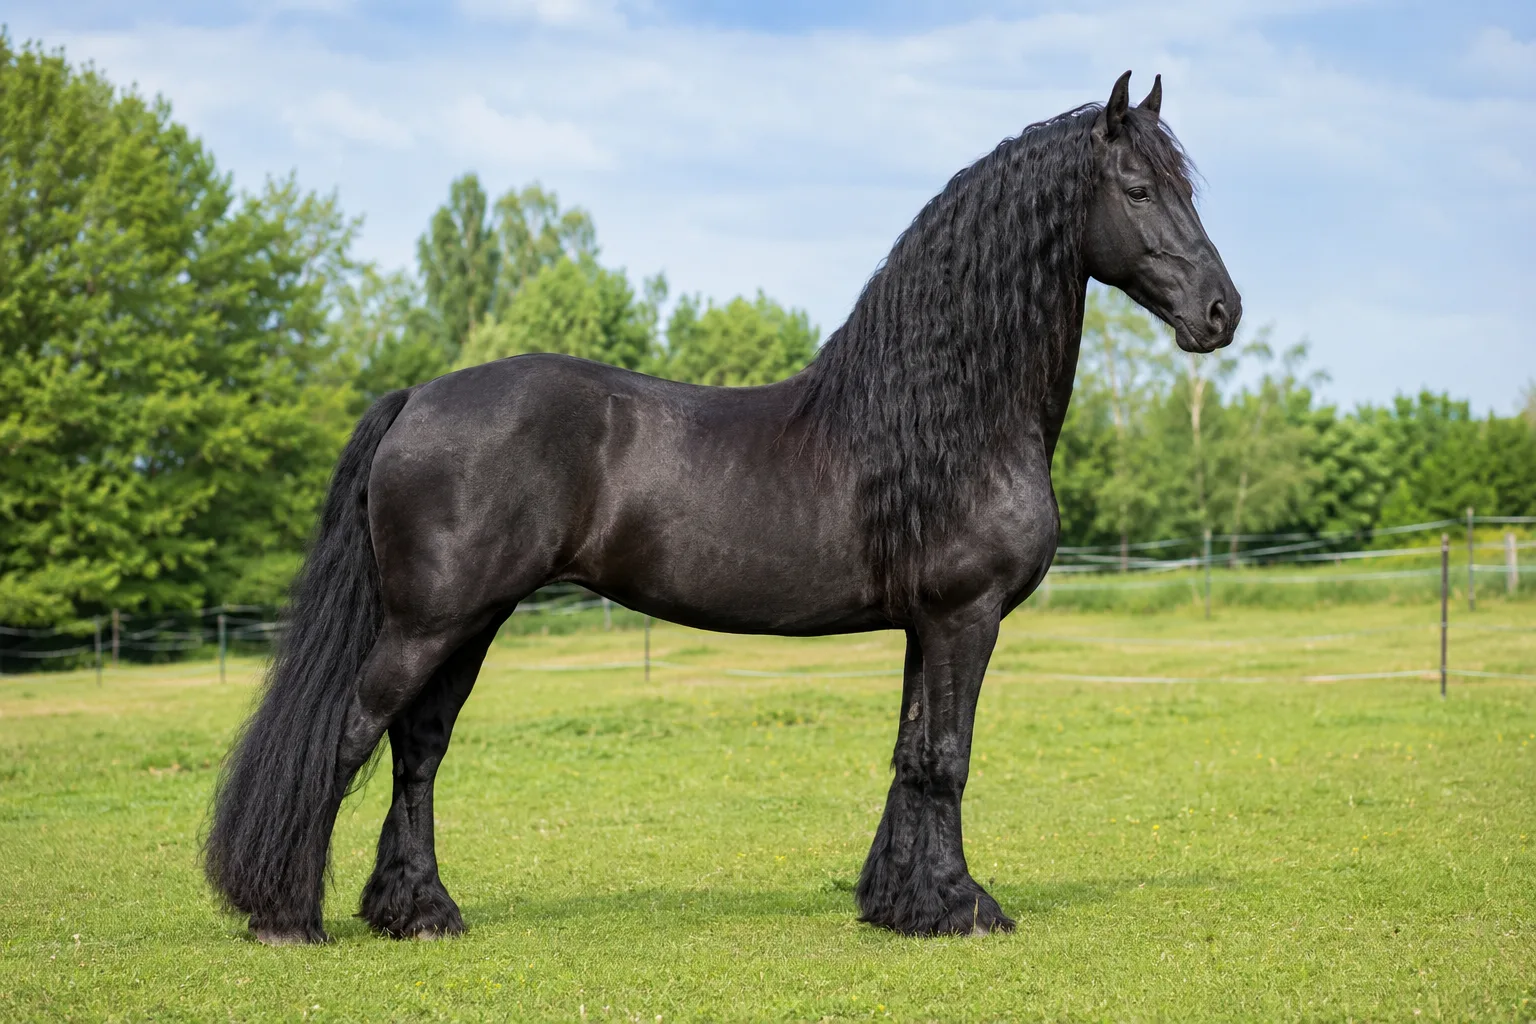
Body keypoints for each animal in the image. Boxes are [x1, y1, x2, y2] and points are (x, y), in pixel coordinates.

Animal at [205, 71, 1239, 944]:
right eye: (1138, 190)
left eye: (1188, 190)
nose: (1222, 312)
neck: (951, 419)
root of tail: (418, 396)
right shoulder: (965, 616)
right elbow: (948, 757)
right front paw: (961, 908)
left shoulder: (923, 624)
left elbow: (910, 756)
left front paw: (898, 904)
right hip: (431, 622)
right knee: (349, 735)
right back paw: (288, 917)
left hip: (471, 622)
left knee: (417, 750)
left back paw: (419, 910)